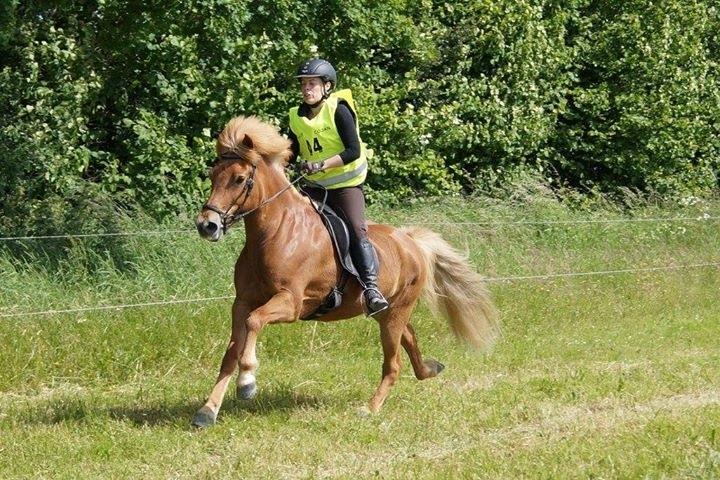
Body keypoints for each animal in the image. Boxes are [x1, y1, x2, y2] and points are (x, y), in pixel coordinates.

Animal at [193, 116, 500, 428]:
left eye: (239, 179)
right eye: (213, 175)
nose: (207, 225)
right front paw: (208, 411)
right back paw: (429, 369)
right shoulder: (242, 302)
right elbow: (232, 351)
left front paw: (247, 382)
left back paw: (370, 408)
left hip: (397, 310)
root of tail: (411, 241)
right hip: (388, 312)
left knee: (393, 364)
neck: (275, 234)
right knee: (410, 338)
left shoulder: (290, 303)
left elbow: (254, 322)